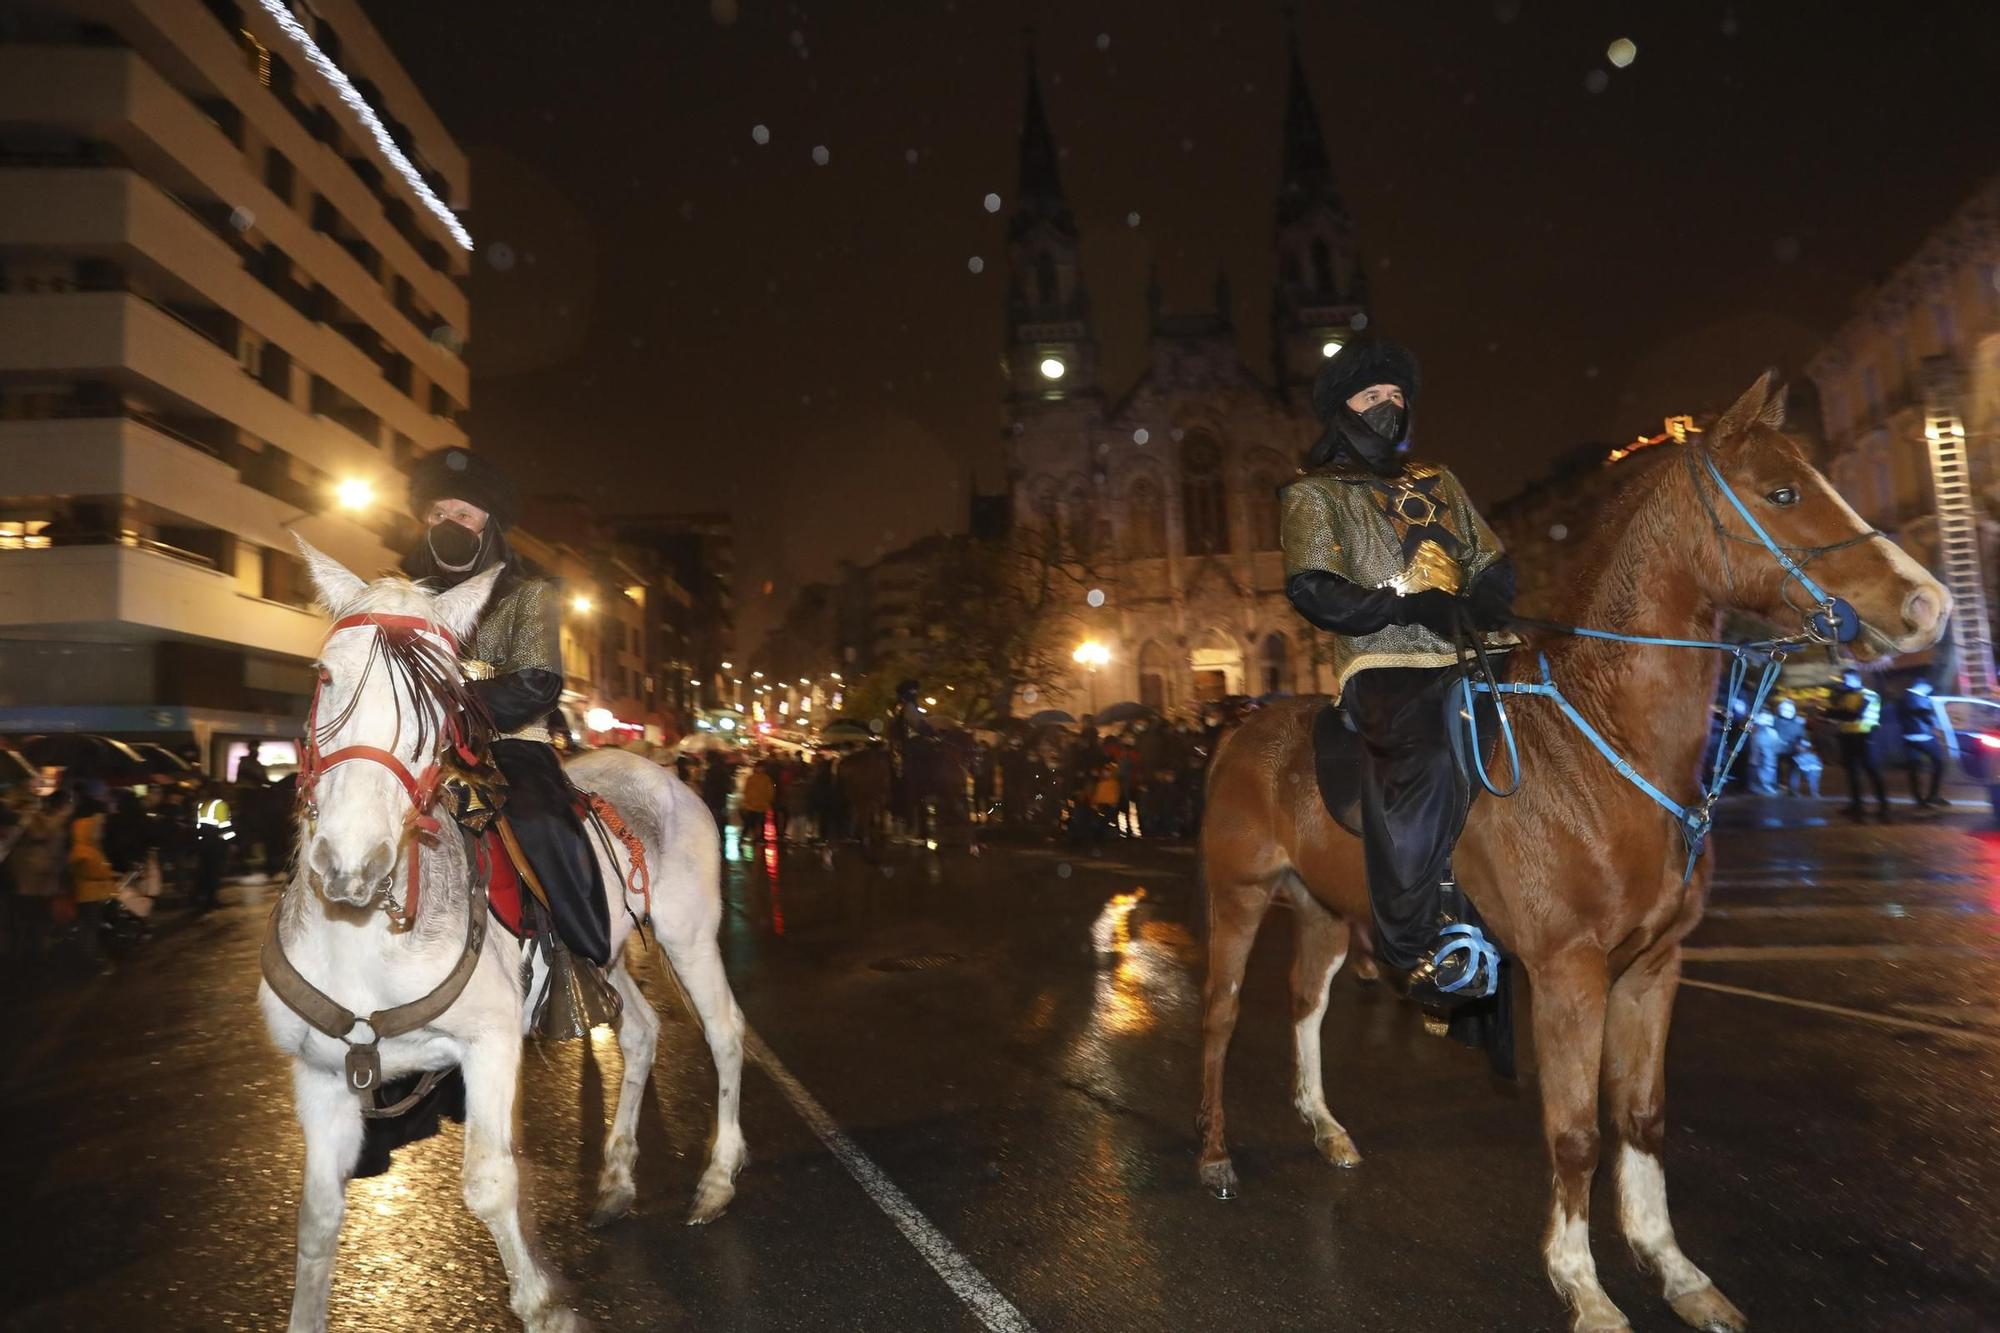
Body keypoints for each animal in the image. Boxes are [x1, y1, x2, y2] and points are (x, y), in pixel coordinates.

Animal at [254, 544, 748, 1328]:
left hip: (688, 934)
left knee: (724, 1032)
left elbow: (488, 1182)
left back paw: (717, 1180)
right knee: (641, 1031)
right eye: (325, 675)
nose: (351, 864)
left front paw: (543, 1302)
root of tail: (666, 773)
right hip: (604, 951)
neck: (364, 941)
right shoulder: (321, 1075)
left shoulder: (488, 1046)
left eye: (442, 702)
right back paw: (616, 1179)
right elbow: (317, 1218)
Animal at [1192, 374, 1944, 1328]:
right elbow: (1577, 1131)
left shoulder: (1653, 968)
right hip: (1237, 896)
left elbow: (1643, 1116)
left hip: (1327, 911)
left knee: (1304, 1006)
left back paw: (1327, 1129)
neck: (1604, 748)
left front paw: (1676, 1269)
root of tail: (1236, 727)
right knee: (1220, 1014)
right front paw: (1582, 1283)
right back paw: (1213, 1153)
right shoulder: (1567, 972)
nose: (1928, 604)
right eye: (1782, 492)